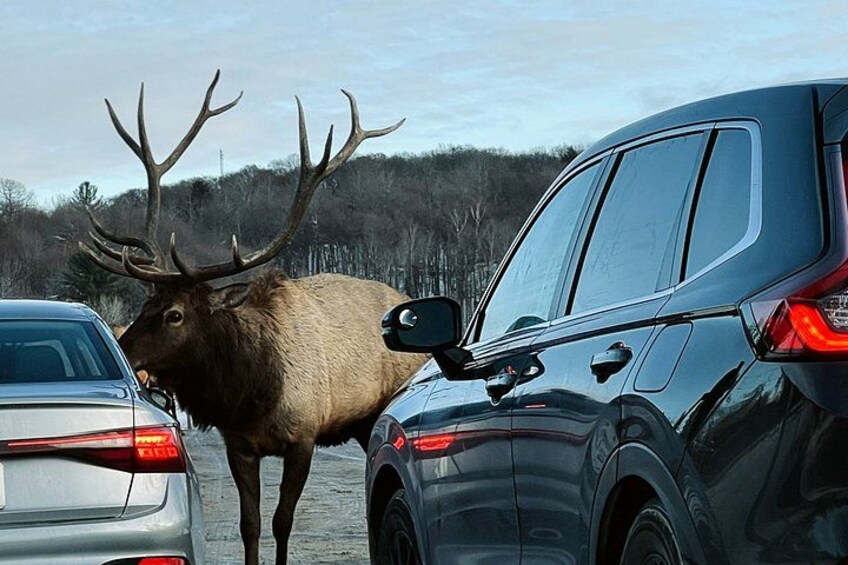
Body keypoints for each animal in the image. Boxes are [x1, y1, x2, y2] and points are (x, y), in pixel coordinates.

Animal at [79, 71, 426, 565]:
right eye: (145, 306)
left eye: (174, 314)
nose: (121, 349)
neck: (253, 391)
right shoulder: (239, 445)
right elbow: (251, 525)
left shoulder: (303, 437)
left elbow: (282, 522)